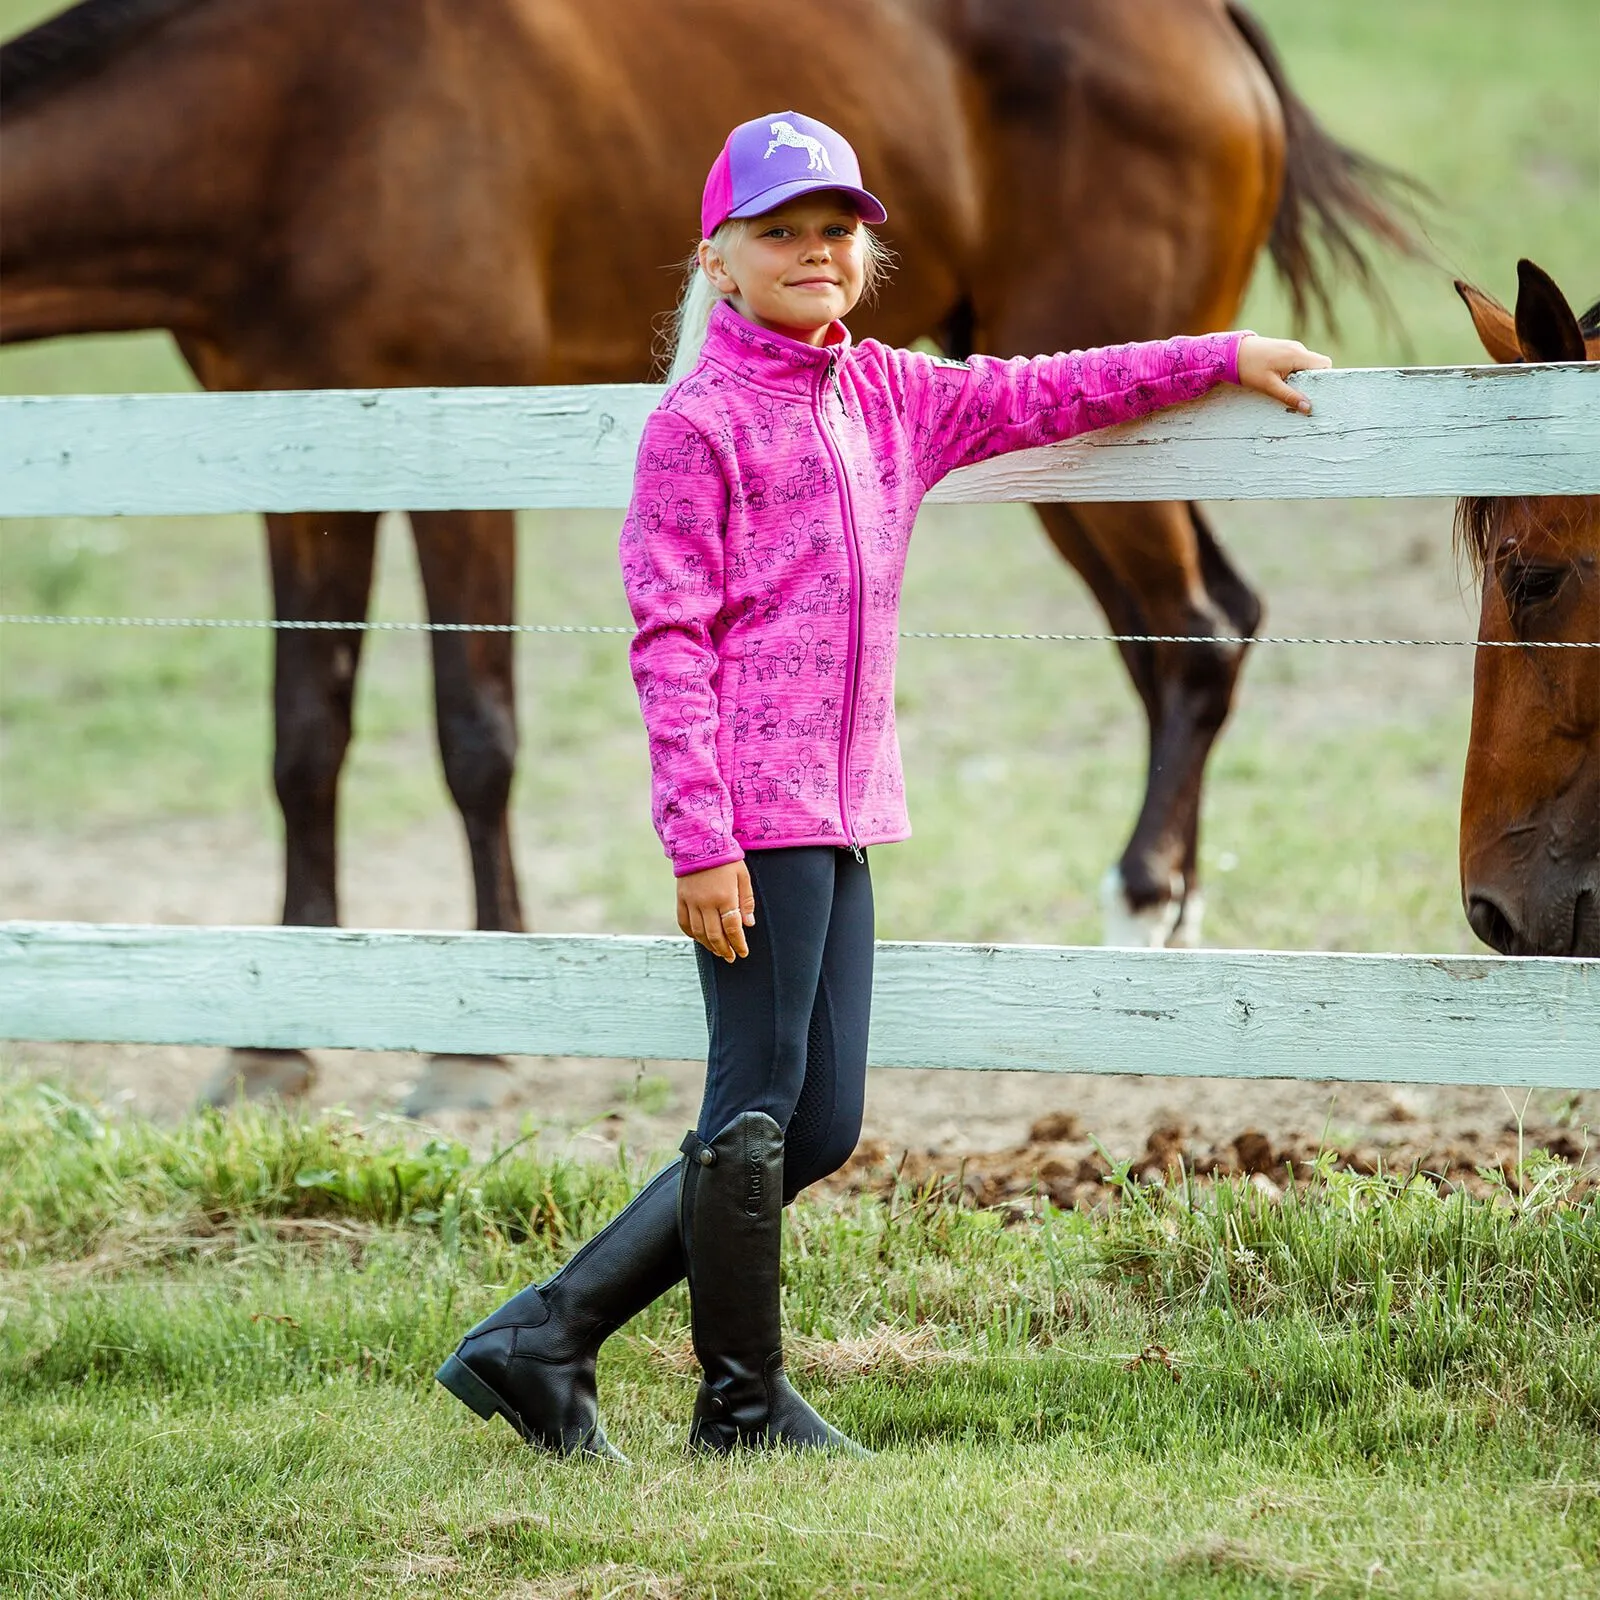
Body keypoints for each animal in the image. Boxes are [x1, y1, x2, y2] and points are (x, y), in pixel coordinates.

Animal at [3, 0, 1414, 1107]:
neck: (295, 113)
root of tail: (1209, 30)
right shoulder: (304, 464)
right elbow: (307, 737)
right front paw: (270, 1046)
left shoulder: (453, 457)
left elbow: (475, 733)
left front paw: (468, 1057)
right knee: (1191, 629)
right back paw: (1167, 926)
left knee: (1195, 631)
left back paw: (1138, 907)